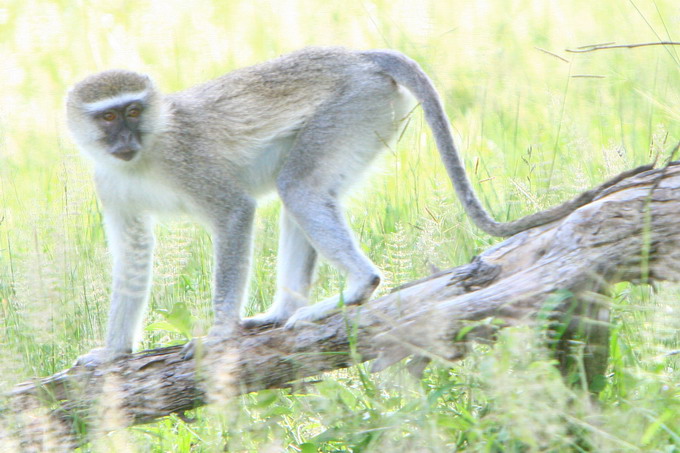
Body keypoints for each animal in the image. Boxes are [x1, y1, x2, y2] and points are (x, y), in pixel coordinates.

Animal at [67, 46, 588, 364]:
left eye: (134, 110)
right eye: (109, 117)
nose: (125, 138)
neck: (147, 153)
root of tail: (357, 56)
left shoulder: (191, 162)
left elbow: (235, 214)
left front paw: (217, 334)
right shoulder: (109, 185)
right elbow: (133, 258)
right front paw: (114, 353)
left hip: (354, 107)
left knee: (297, 187)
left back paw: (358, 286)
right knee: (296, 192)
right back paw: (281, 312)